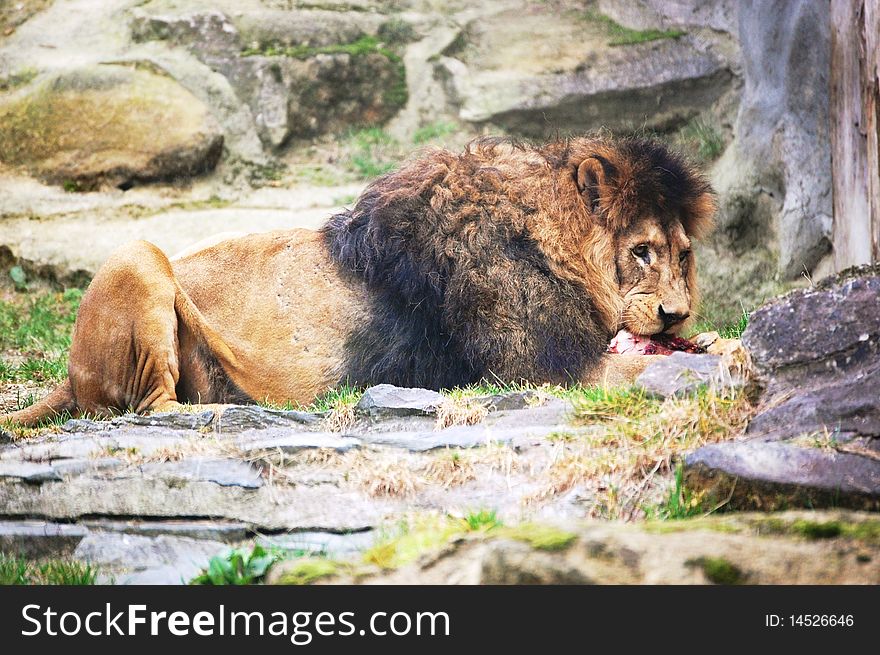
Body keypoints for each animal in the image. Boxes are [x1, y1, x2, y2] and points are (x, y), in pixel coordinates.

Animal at [1, 136, 716, 428]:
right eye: (642, 252)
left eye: (683, 255)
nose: (676, 314)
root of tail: (68, 375)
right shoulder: (545, 367)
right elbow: (641, 367)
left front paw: (707, 344)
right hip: (139, 253)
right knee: (150, 407)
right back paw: (226, 408)